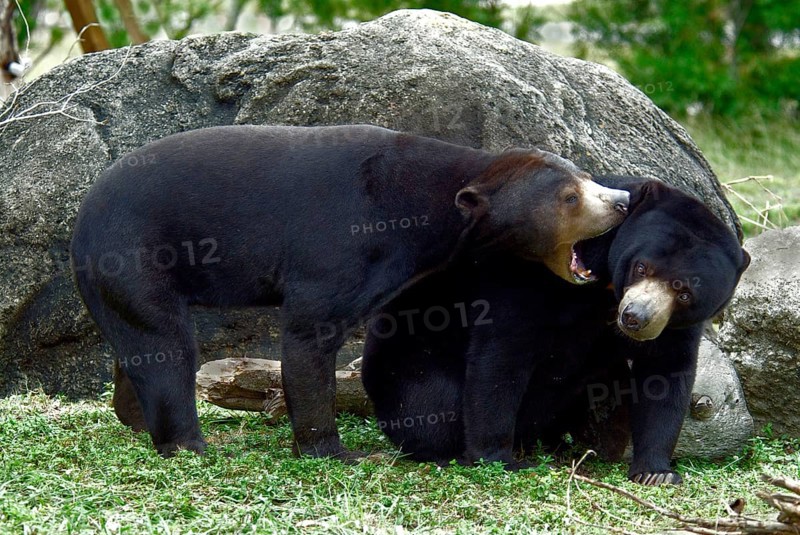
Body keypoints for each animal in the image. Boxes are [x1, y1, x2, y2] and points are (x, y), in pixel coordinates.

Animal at [69, 124, 630, 458]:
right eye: (571, 197)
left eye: (586, 178)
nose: (622, 200)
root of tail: (80, 220)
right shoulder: (341, 245)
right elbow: (307, 336)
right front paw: (335, 451)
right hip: (135, 255)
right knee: (166, 345)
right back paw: (189, 442)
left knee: (138, 342)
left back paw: (134, 419)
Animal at [360, 175, 750, 484]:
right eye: (642, 267)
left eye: (684, 293)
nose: (635, 318)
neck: (606, 285)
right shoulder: (532, 273)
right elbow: (503, 352)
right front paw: (497, 458)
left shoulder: (673, 326)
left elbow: (665, 372)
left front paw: (656, 472)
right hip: (411, 362)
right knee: (431, 403)